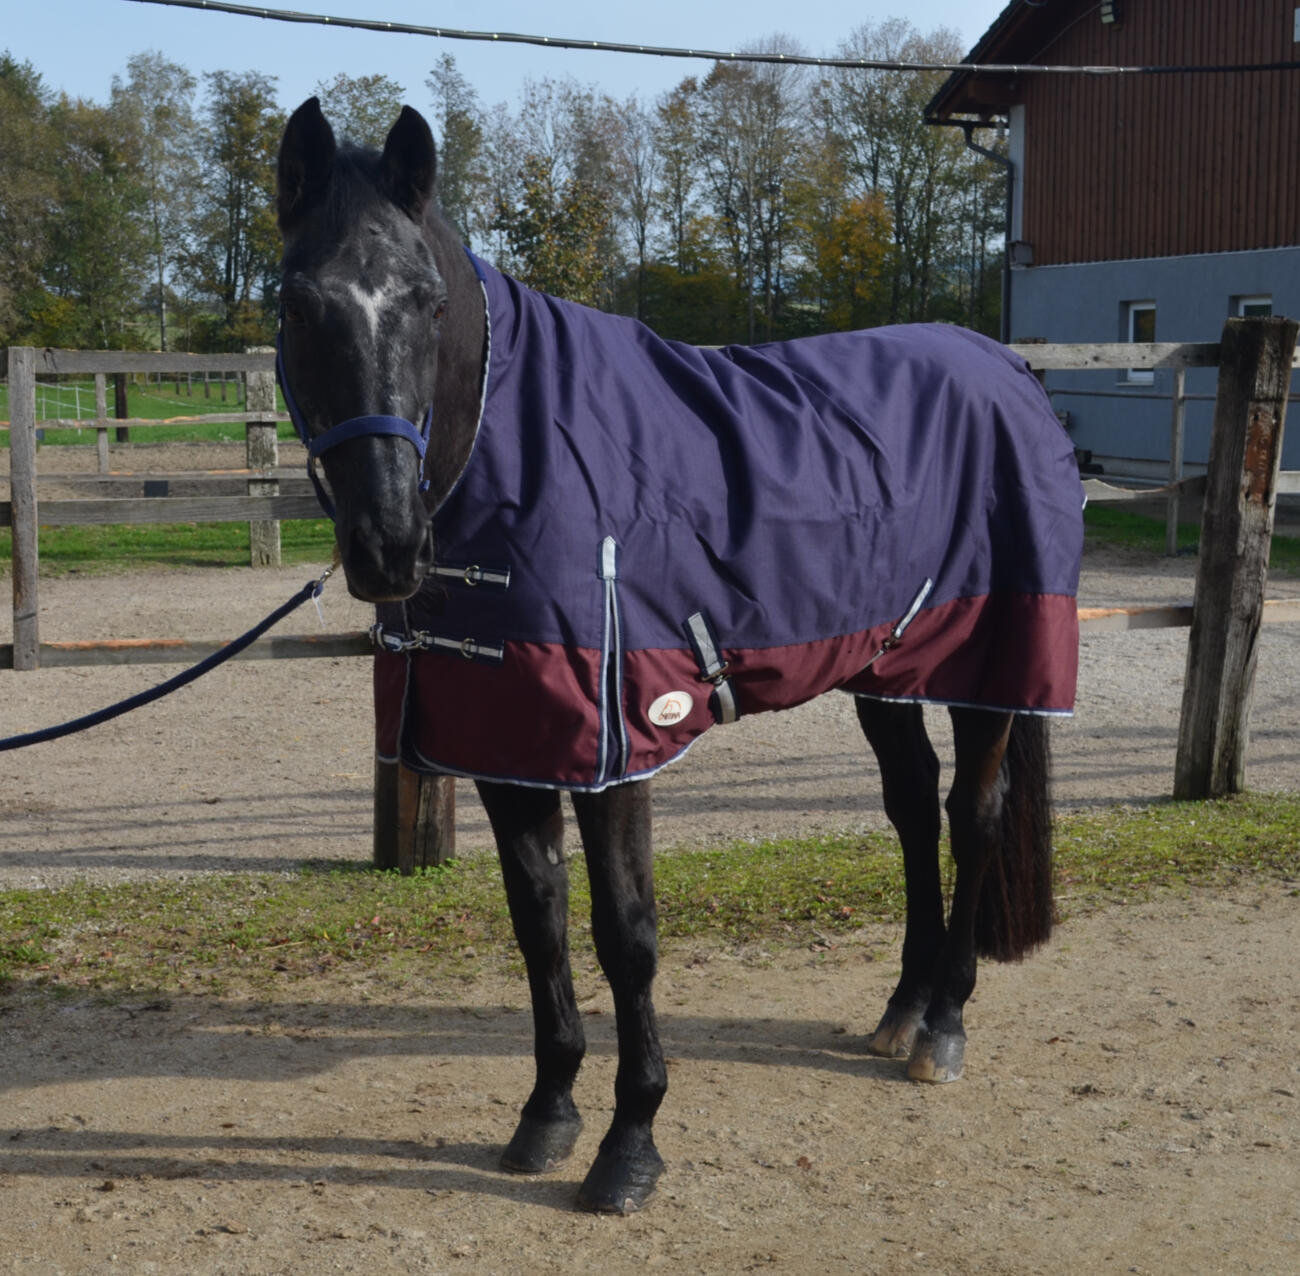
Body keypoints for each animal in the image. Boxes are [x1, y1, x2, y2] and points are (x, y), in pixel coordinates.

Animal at [275, 99, 1084, 1214]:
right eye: (298, 303)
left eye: (428, 301)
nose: (389, 545)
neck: (520, 453)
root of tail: (1008, 369)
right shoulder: (508, 747)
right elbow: (539, 921)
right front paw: (547, 1114)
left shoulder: (618, 748)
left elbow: (627, 935)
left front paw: (630, 1143)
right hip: (884, 670)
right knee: (913, 809)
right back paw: (902, 1008)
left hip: (987, 669)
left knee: (972, 816)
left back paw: (946, 1025)